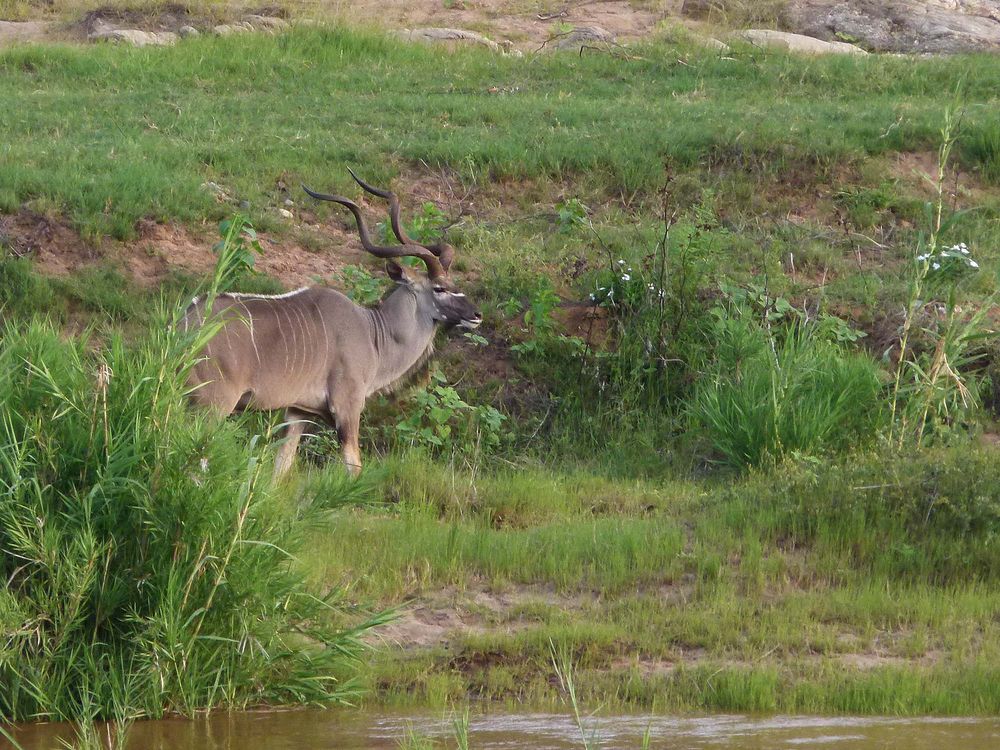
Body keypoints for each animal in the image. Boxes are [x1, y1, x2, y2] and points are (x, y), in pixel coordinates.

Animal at [183, 172, 480, 476]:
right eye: (440, 288)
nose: (476, 315)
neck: (374, 334)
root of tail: (187, 321)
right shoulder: (347, 407)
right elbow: (353, 466)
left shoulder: (298, 412)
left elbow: (281, 466)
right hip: (214, 405)